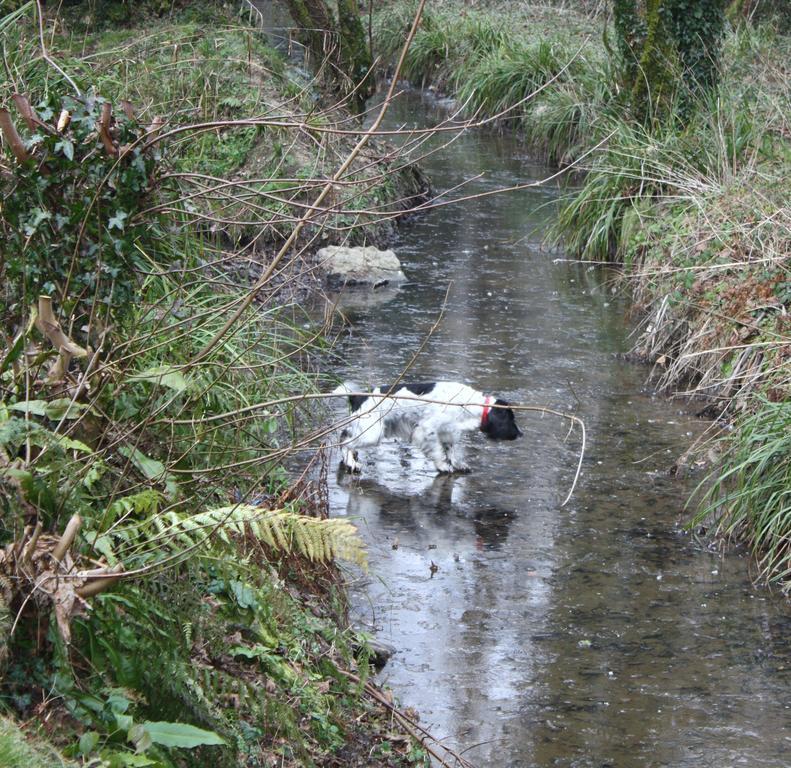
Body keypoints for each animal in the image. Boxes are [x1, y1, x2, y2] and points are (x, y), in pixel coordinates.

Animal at [332, 380, 524, 474]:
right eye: (510, 419)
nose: (520, 434)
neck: (469, 404)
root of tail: (357, 396)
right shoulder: (426, 430)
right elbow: (438, 452)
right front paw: (443, 466)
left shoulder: (447, 432)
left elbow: (450, 451)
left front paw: (457, 464)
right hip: (372, 432)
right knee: (345, 441)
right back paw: (351, 463)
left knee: (345, 436)